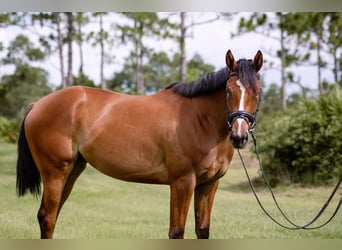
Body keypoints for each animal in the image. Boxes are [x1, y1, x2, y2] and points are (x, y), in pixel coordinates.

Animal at [16, 49, 264, 239]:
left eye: (258, 92)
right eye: (228, 90)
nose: (239, 136)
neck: (199, 119)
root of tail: (38, 104)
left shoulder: (209, 184)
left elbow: (202, 230)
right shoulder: (182, 182)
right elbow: (176, 232)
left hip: (72, 170)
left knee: (51, 215)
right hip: (55, 173)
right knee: (48, 218)